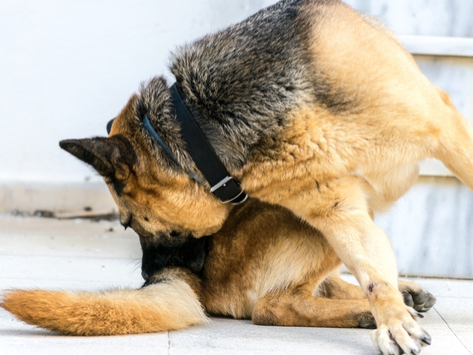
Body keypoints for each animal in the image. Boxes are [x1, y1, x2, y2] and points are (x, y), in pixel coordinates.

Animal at [2, 0, 468, 354]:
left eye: (131, 223)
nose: (147, 278)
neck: (201, 128)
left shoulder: (448, 131)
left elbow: (372, 271)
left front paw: (393, 310)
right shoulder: (337, 213)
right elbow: (371, 277)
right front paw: (389, 319)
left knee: (322, 287)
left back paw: (401, 294)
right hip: (318, 229)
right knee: (274, 305)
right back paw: (365, 312)